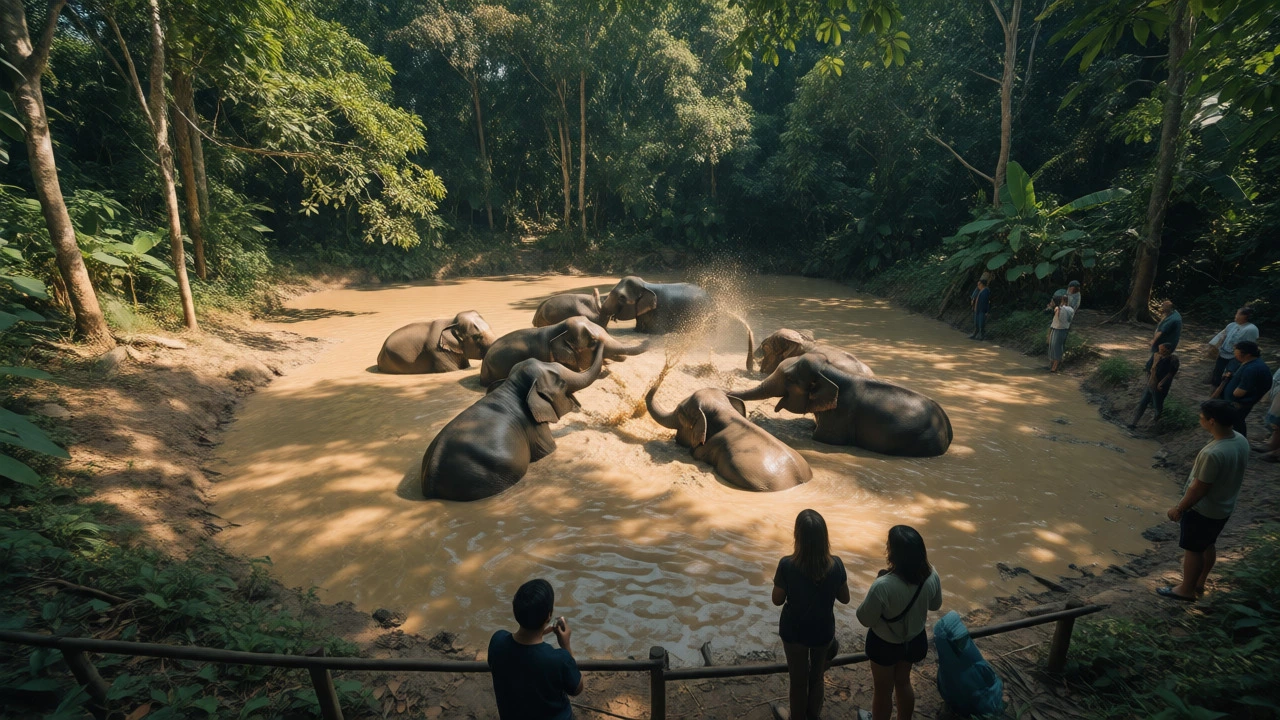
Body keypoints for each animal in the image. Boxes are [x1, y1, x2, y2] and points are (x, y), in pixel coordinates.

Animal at [421, 343, 606, 501]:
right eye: (561, 382)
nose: (598, 341)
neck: (512, 386)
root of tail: (431, 481)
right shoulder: (534, 428)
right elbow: (549, 450)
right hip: (488, 478)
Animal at [646, 385, 812, 492]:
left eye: (681, 412)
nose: (655, 384)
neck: (725, 411)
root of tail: (799, 481)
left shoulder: (707, 448)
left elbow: (696, 452)